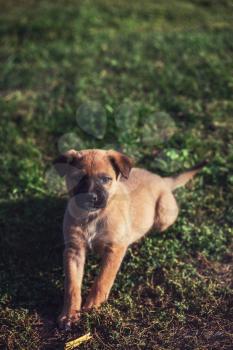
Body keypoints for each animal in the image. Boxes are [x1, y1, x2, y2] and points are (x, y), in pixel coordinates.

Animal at [53, 150, 206, 328]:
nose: (91, 197)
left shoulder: (115, 248)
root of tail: (162, 179)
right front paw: (69, 314)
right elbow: (72, 285)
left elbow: (103, 280)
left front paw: (93, 306)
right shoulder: (74, 250)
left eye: (105, 179)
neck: (93, 217)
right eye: (78, 177)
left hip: (164, 216)